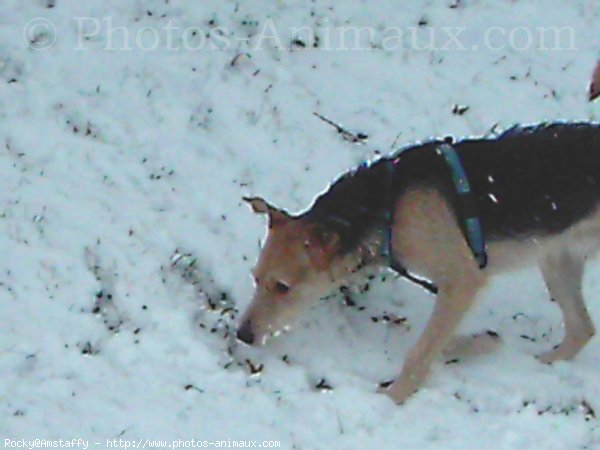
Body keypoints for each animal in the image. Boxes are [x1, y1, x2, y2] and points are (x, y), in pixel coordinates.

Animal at [237, 122, 600, 404]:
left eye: (283, 287)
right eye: (255, 279)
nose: (242, 335)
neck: (387, 207)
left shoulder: (462, 281)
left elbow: (418, 354)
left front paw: (394, 396)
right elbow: (439, 342)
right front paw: (477, 343)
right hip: (557, 261)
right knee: (582, 329)